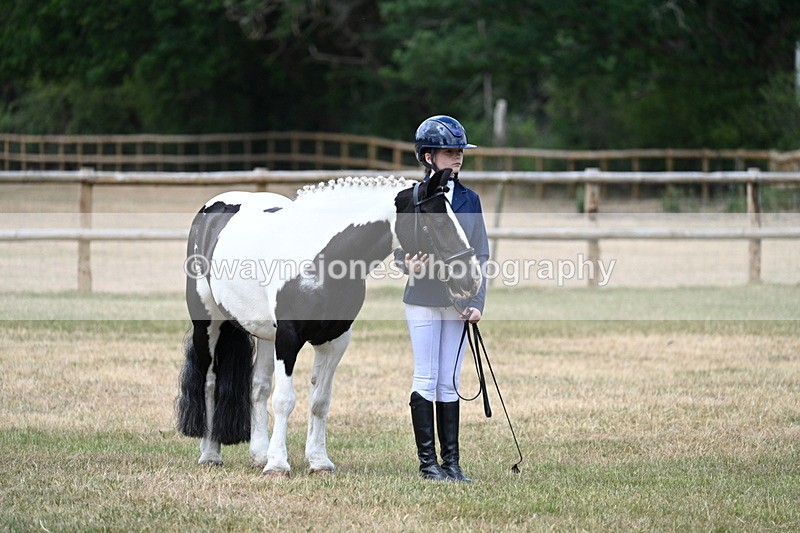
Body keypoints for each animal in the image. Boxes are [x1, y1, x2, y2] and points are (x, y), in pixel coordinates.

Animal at [176, 168, 482, 476]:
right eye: (439, 220)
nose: (472, 279)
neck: (320, 260)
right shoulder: (288, 339)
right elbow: (285, 400)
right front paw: (278, 465)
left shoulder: (334, 340)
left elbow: (320, 401)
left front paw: (319, 461)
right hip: (208, 323)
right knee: (209, 381)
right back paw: (210, 453)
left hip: (263, 333)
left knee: (258, 387)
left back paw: (260, 454)